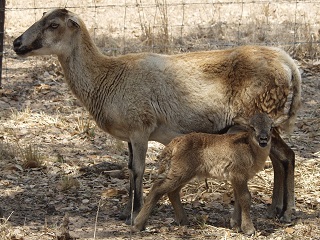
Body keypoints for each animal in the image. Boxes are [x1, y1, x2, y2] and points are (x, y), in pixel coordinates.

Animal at [133, 113, 288, 235]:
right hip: (181, 170)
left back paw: (183, 220)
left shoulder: (235, 177)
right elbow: (245, 198)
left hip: (184, 171)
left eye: (271, 127)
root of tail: (175, 143)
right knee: (158, 188)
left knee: (172, 192)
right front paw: (249, 229)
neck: (250, 148)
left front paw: (235, 225)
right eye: (252, 127)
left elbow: (238, 198)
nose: (263, 139)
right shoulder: (238, 174)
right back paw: (138, 224)